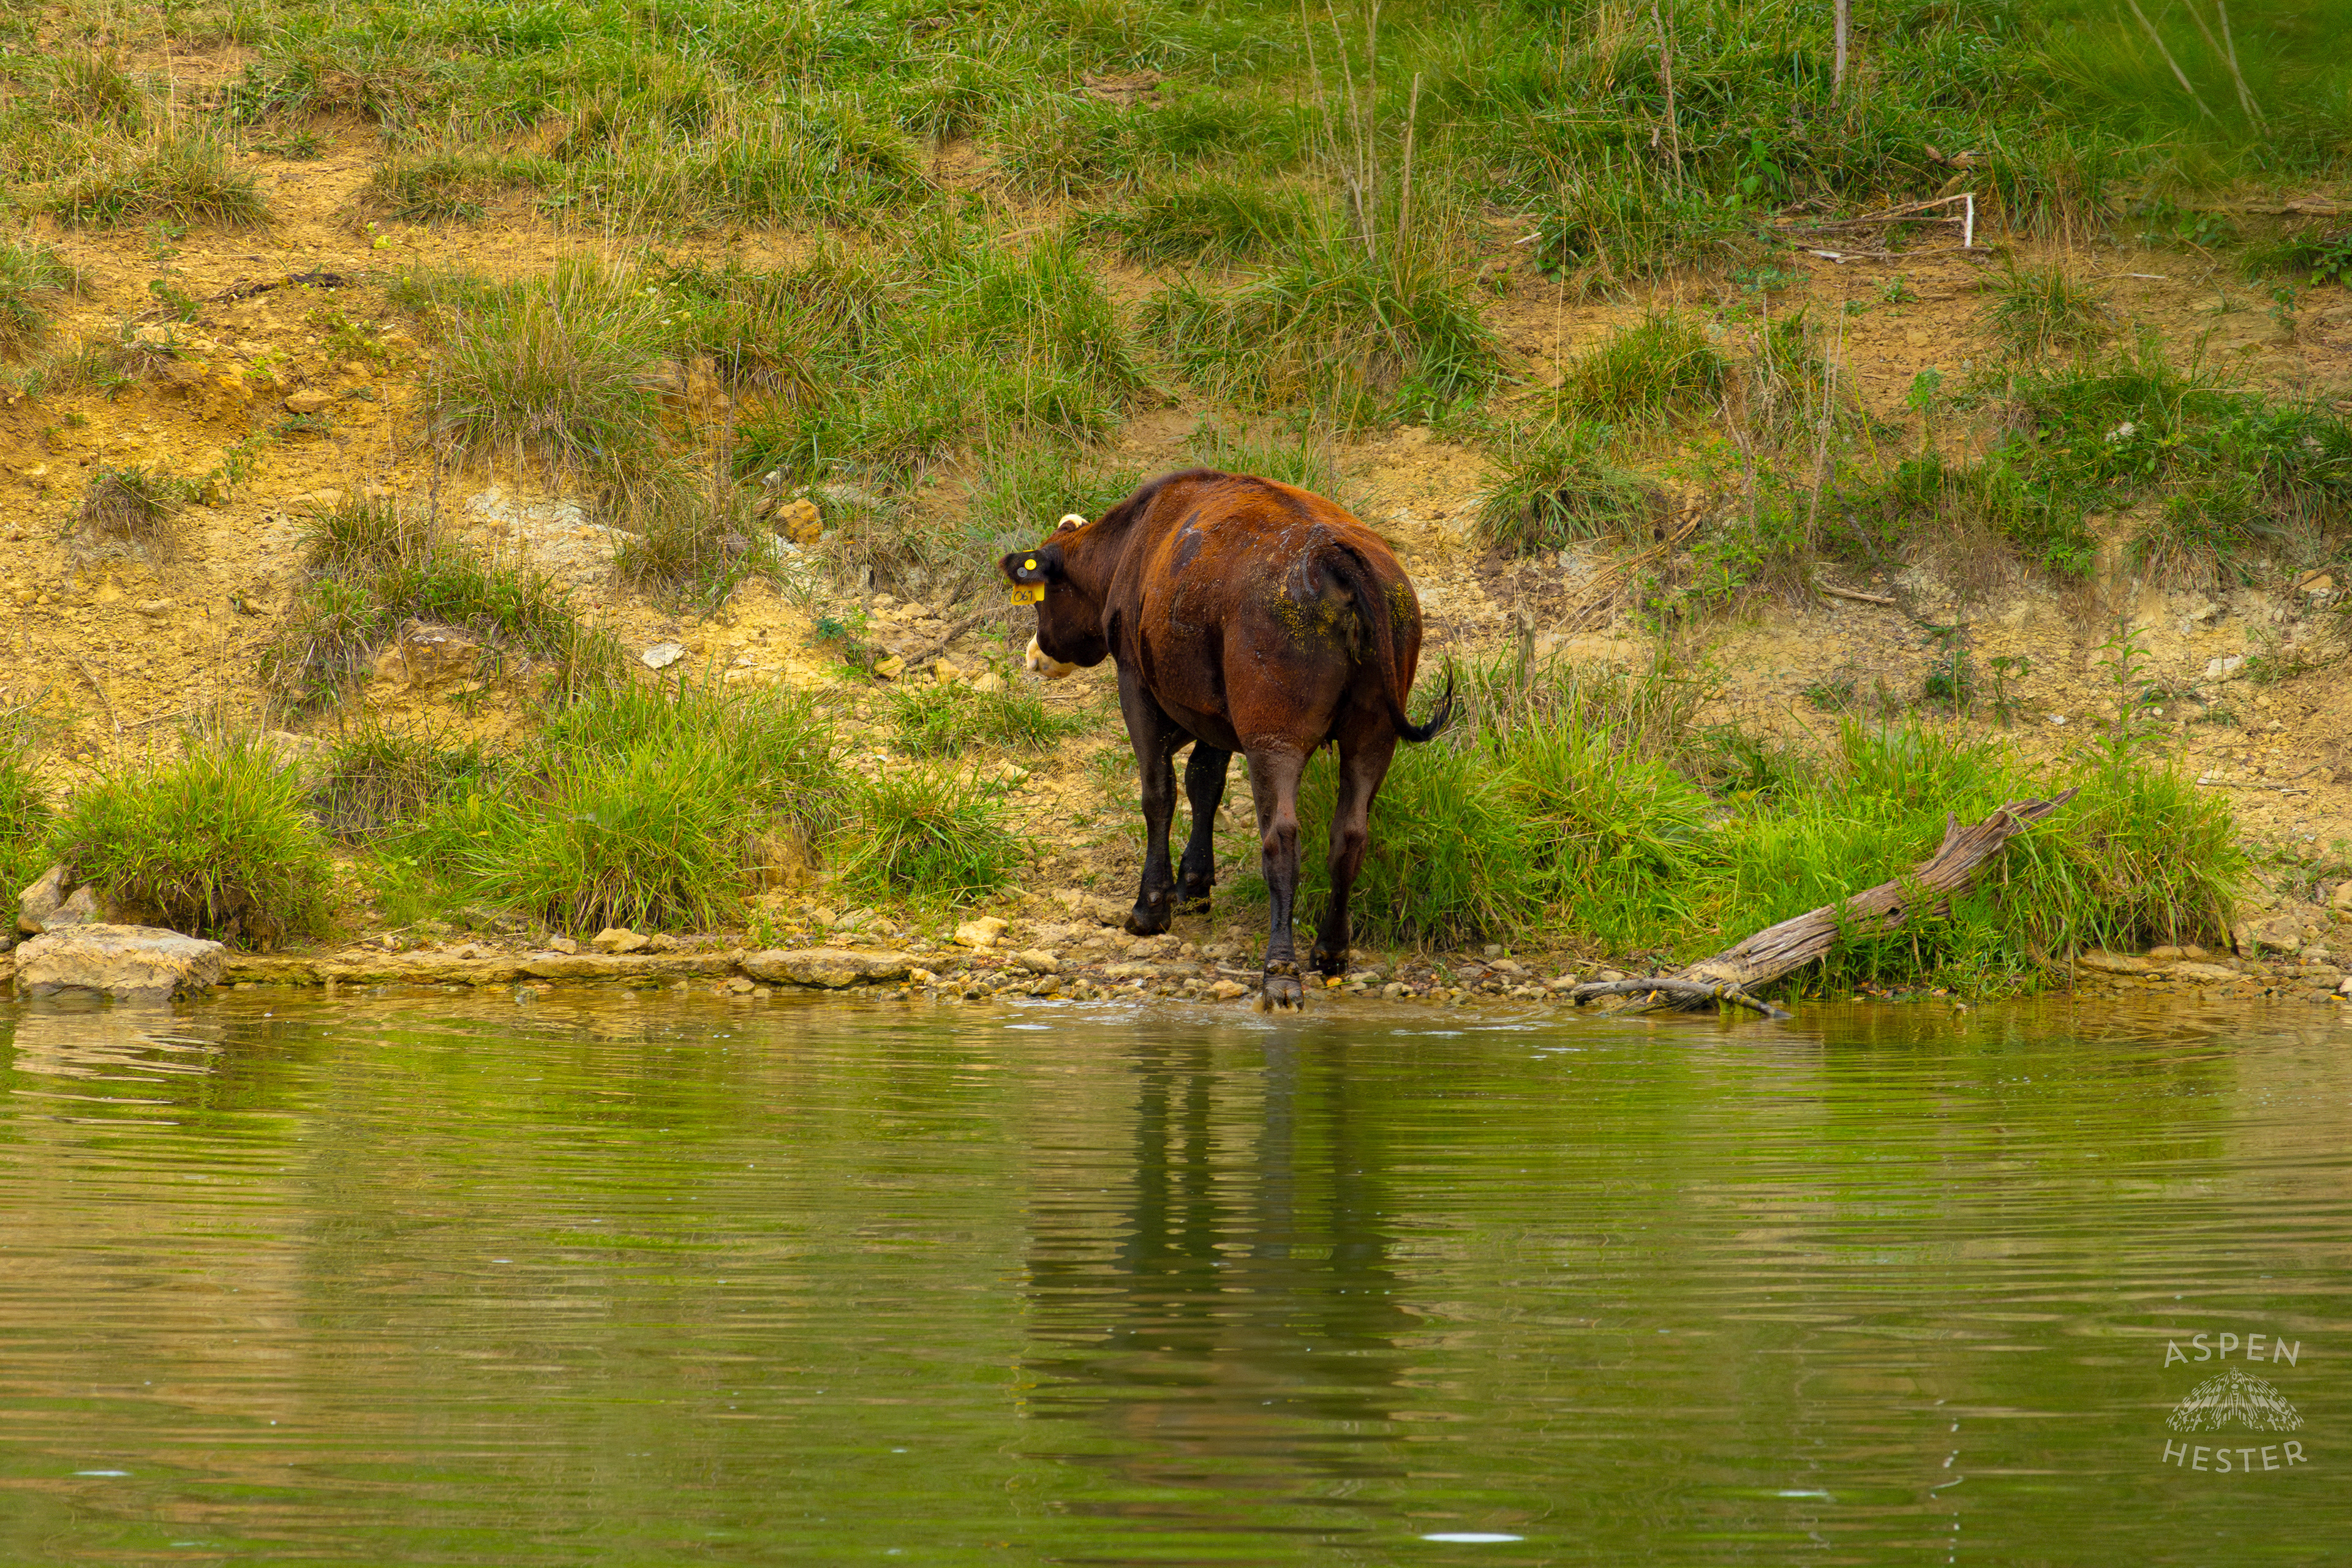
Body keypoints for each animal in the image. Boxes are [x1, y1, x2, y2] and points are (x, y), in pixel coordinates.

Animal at [999, 469, 1451, 1011]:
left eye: (1043, 599)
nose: (1033, 653)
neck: (1134, 542)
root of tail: (1334, 554)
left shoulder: (1137, 686)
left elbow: (1160, 793)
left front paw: (1151, 907)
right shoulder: (1211, 711)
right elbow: (1204, 782)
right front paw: (1194, 882)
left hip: (1273, 738)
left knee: (1281, 839)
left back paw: (1281, 972)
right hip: (1373, 736)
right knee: (1350, 835)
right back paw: (1330, 951)